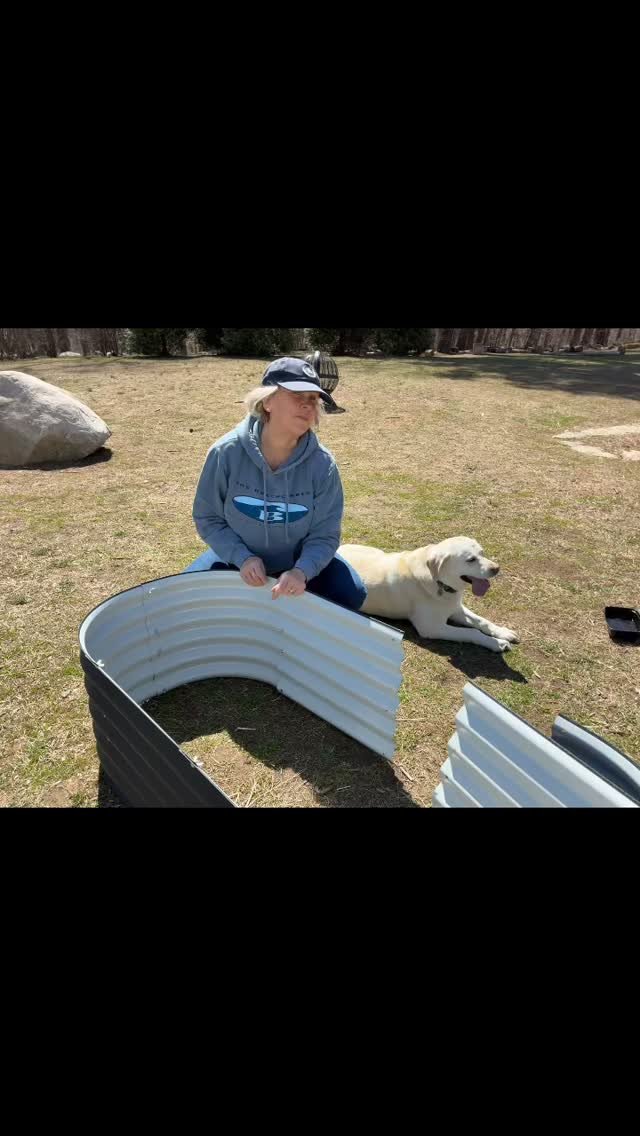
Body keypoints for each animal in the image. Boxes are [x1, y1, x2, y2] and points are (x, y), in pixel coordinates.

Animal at [339, 536, 520, 653]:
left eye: (482, 553)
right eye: (470, 559)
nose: (496, 569)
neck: (439, 583)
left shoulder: (455, 608)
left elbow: (482, 621)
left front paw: (503, 633)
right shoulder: (432, 628)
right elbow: (471, 632)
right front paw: (497, 644)